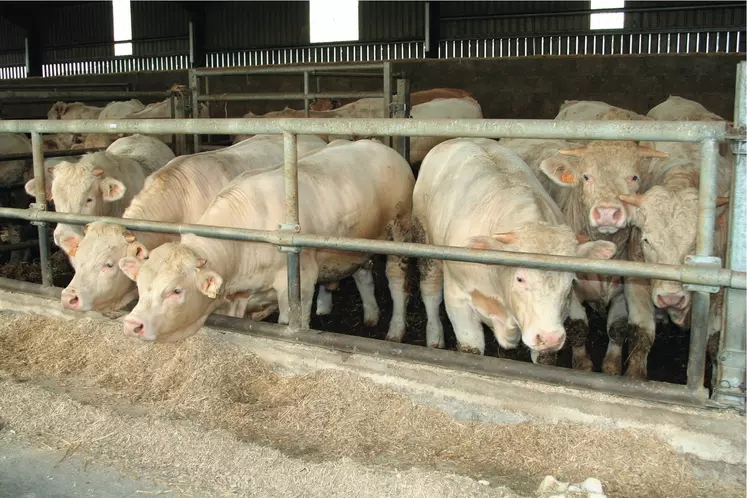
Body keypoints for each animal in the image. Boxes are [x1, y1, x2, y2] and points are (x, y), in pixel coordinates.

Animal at [118, 140, 414, 342]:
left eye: (176, 290)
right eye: (140, 284)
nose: (133, 324)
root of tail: (379, 146)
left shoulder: (299, 282)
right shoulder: (237, 296)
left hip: (400, 230)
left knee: (396, 280)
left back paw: (395, 329)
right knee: (363, 275)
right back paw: (371, 315)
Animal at [412, 138, 616, 360]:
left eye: (570, 281)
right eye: (520, 278)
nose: (550, 338)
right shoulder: (458, 300)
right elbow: (470, 347)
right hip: (425, 240)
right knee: (430, 291)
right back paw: (434, 336)